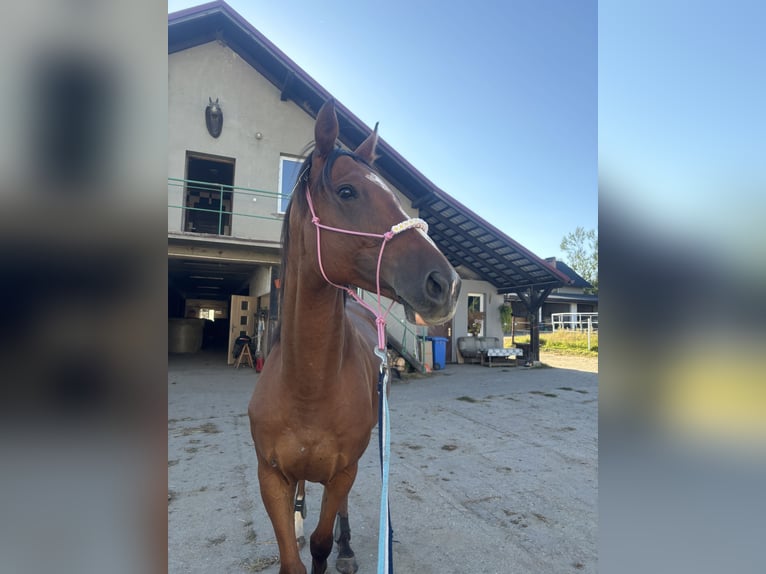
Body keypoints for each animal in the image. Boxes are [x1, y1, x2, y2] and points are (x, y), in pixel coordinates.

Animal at [248, 100, 460, 574]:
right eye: (347, 192)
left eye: (395, 197)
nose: (448, 283)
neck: (306, 385)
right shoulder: (271, 475)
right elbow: (292, 558)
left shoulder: (344, 470)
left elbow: (322, 544)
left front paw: (335, 547)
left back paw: (347, 547)